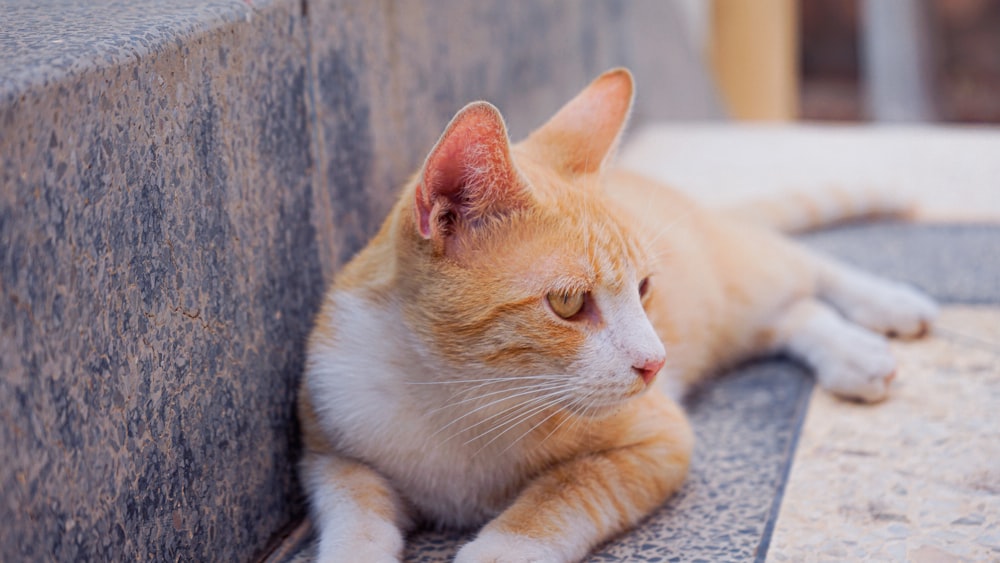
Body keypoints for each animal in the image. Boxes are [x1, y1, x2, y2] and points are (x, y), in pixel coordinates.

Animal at [296, 68, 936, 560]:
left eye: (645, 287)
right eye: (568, 303)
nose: (656, 364)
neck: (459, 397)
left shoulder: (657, 441)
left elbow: (565, 492)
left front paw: (501, 548)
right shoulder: (329, 442)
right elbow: (354, 509)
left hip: (740, 273)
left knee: (803, 267)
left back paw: (880, 313)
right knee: (789, 314)